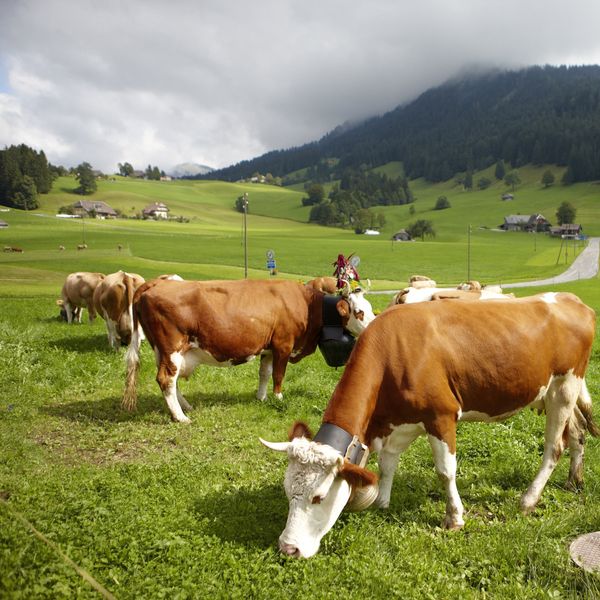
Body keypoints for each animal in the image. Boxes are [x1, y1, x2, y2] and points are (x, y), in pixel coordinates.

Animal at [122, 278, 376, 422]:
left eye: (370, 307)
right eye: (359, 311)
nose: (374, 326)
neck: (307, 306)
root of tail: (155, 283)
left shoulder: (268, 349)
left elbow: (264, 373)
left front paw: (261, 398)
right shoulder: (283, 345)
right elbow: (278, 375)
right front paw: (278, 398)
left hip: (162, 350)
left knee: (170, 381)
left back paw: (185, 406)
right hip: (172, 347)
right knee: (166, 379)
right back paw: (180, 417)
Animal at [262, 292, 596, 560]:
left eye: (318, 497)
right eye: (287, 490)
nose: (288, 548)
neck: (392, 353)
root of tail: (570, 299)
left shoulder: (441, 416)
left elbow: (446, 471)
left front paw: (454, 518)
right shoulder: (397, 422)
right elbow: (387, 464)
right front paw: (382, 502)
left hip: (564, 387)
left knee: (554, 446)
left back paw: (528, 500)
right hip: (557, 393)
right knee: (577, 434)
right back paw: (574, 480)